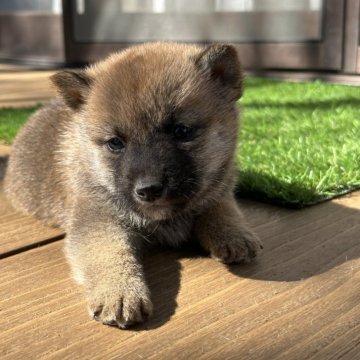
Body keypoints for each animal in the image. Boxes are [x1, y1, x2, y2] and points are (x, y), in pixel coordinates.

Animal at [4, 42, 262, 330]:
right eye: (115, 143)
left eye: (181, 131)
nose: (148, 189)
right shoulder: (97, 220)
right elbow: (109, 253)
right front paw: (119, 293)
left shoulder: (218, 190)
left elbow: (221, 209)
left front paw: (234, 234)